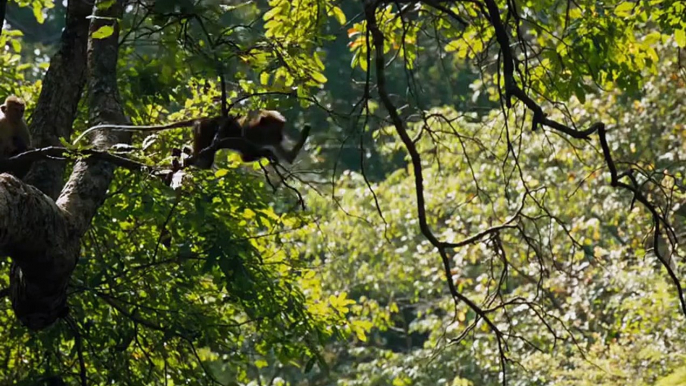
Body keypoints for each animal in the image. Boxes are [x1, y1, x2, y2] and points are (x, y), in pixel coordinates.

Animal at [72, 108, 312, 169]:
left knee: (204, 159)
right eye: (276, 129)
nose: (281, 135)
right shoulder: (248, 131)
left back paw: (182, 153)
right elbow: (242, 143)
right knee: (206, 155)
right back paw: (185, 155)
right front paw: (265, 152)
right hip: (203, 130)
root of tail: (201, 119)